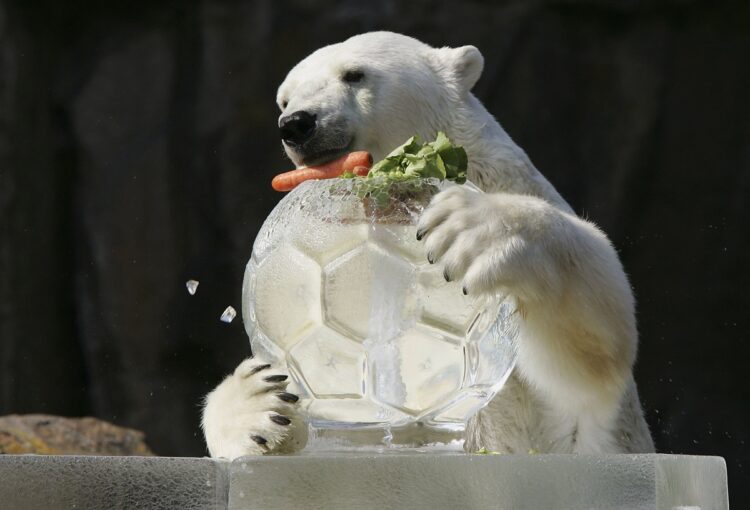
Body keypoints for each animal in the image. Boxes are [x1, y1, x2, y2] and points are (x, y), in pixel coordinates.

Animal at [203, 30, 656, 458]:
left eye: (354, 74)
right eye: (284, 98)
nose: (296, 122)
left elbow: (590, 365)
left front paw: (469, 227)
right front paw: (258, 403)